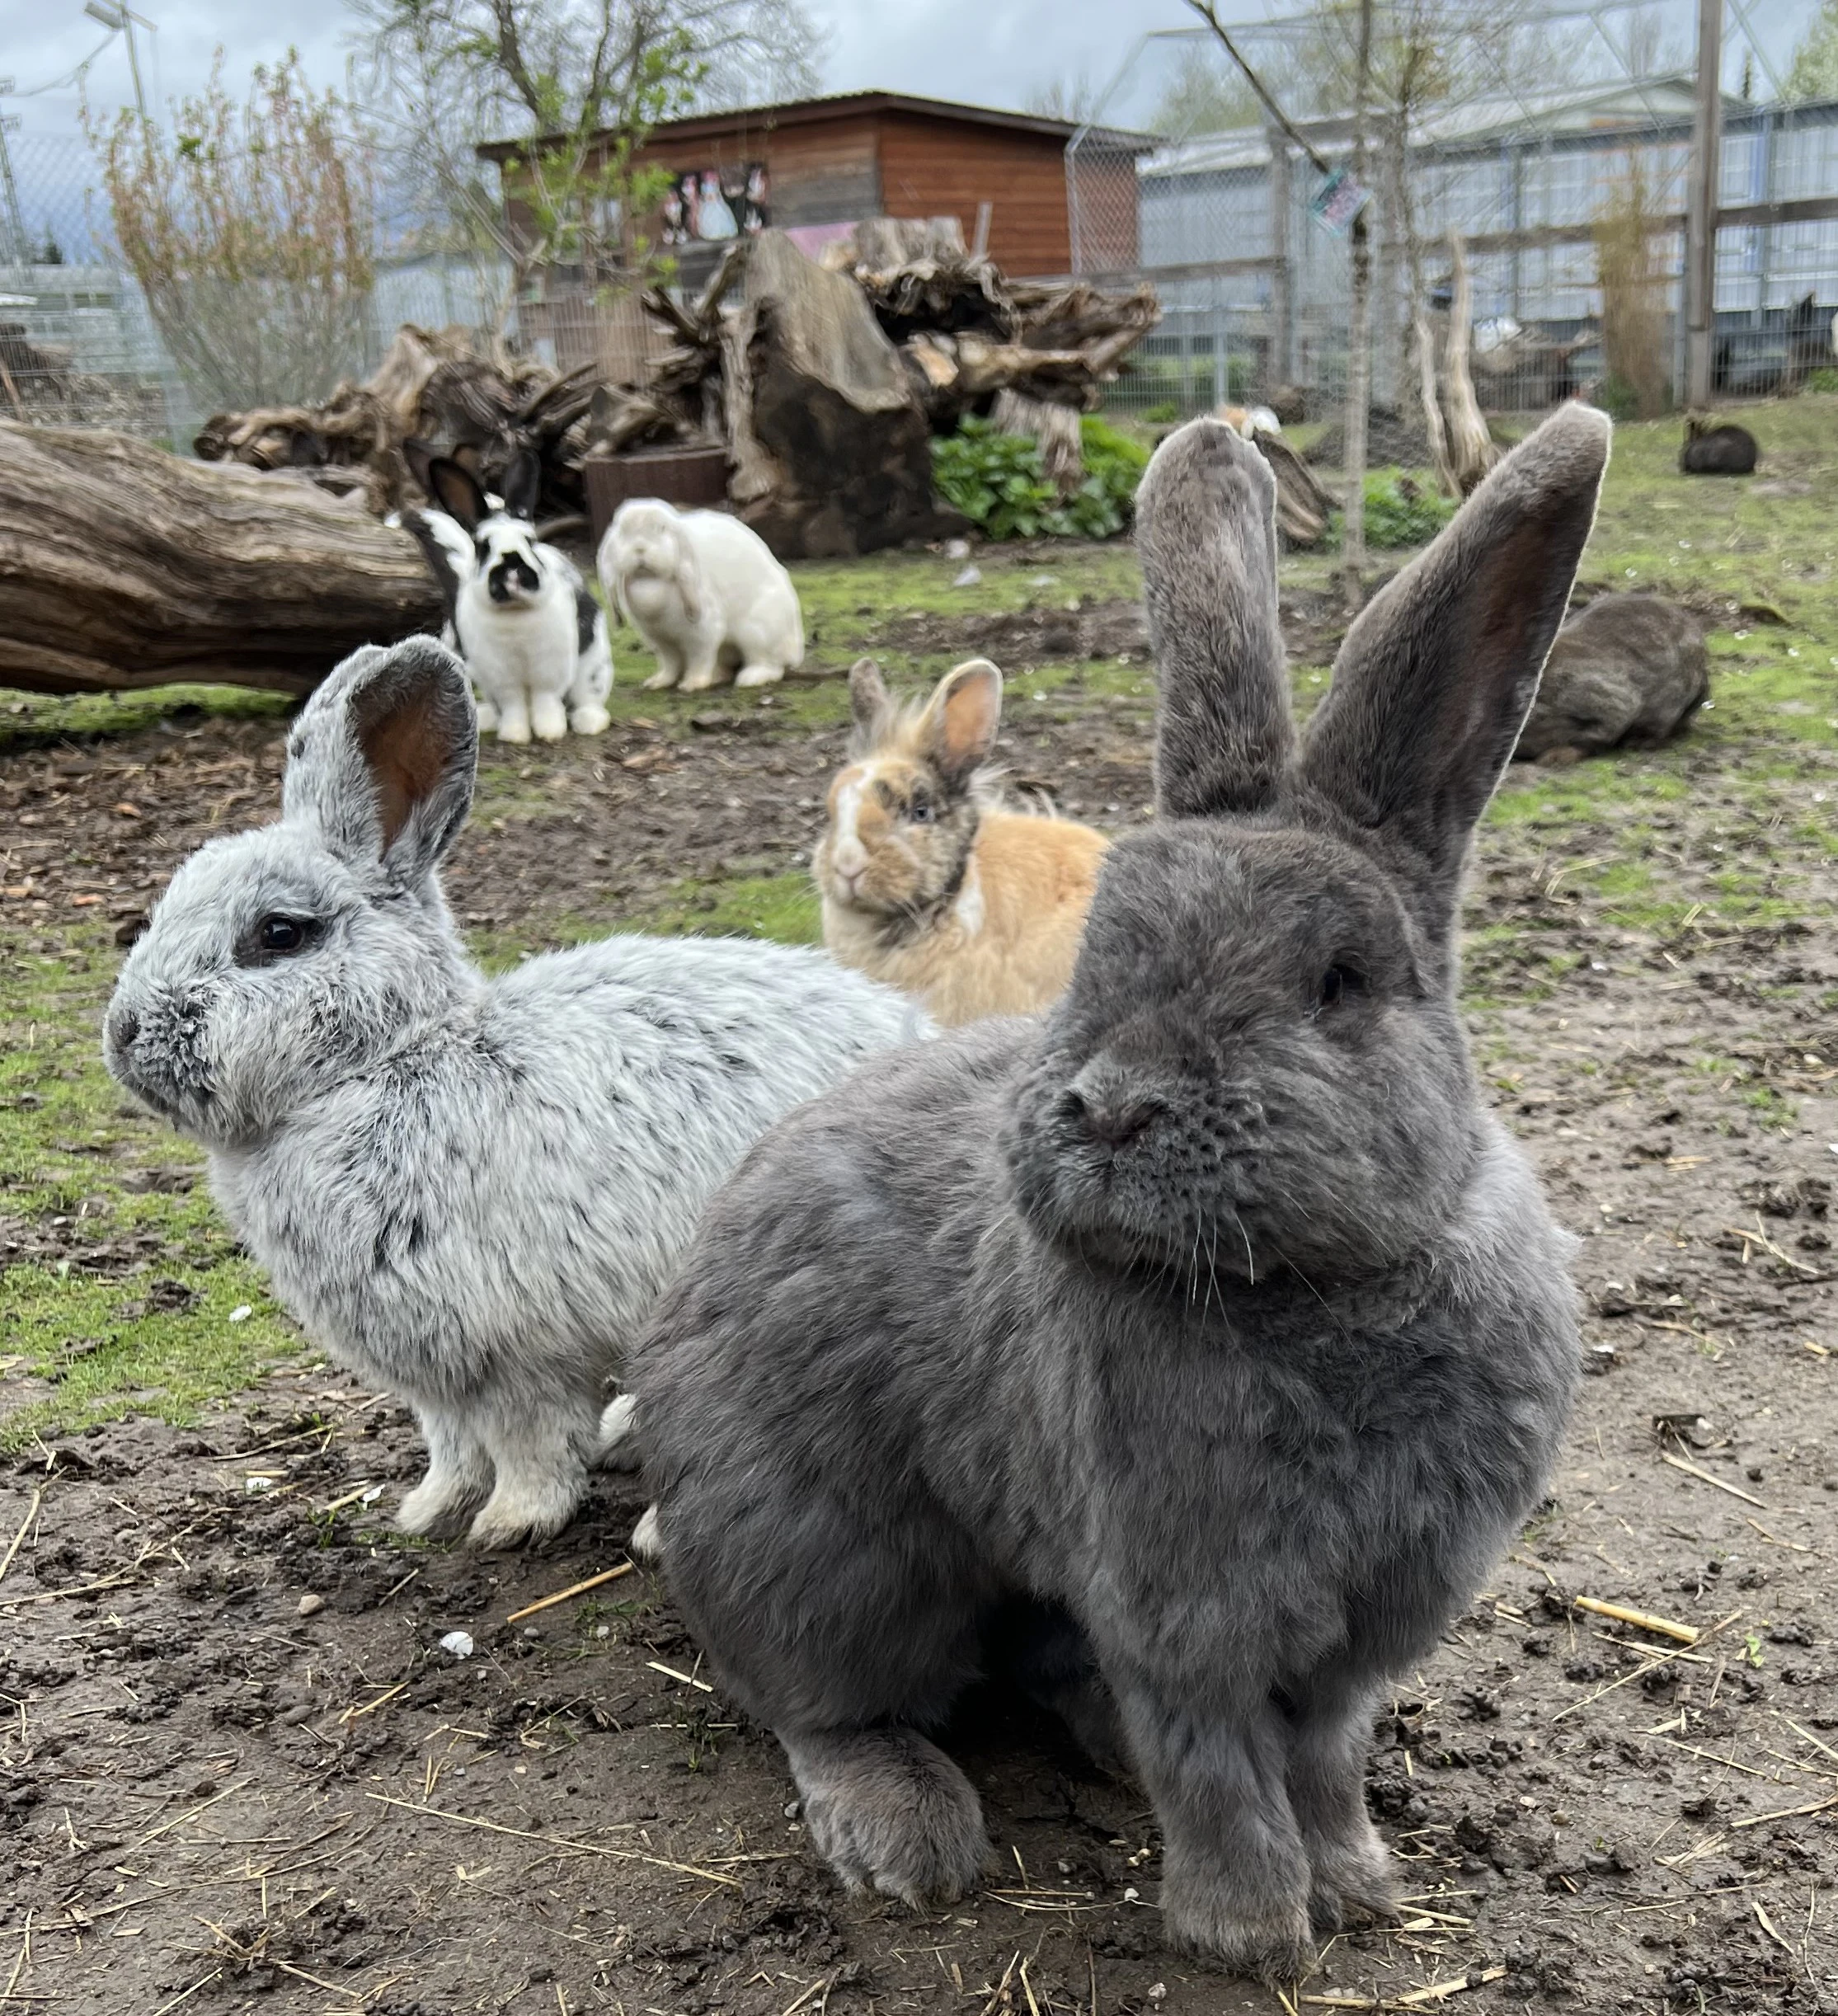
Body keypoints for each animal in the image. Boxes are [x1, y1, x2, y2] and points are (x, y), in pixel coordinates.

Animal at [102, 638, 928, 1552]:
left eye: (279, 934)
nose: (125, 1035)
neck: (389, 1056)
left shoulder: (517, 1356)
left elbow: (528, 1443)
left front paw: (509, 1523)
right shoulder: (436, 1378)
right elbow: (451, 1445)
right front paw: (427, 1512)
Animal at [418, 449, 613, 742]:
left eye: (530, 541)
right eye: (483, 547)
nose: (513, 571)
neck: (515, 613)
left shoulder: (549, 670)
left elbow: (546, 700)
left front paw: (550, 732)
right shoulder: (500, 677)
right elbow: (513, 705)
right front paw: (515, 735)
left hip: (593, 668)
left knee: (587, 699)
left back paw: (588, 722)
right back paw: (486, 719)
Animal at [598, 498, 803, 692]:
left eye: (661, 529)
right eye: (624, 532)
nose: (639, 549)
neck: (650, 578)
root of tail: (795, 650)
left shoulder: (702, 634)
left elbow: (700, 659)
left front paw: (692, 684)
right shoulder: (661, 640)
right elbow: (669, 663)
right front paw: (658, 682)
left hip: (757, 632)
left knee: (770, 664)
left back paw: (749, 678)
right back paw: (717, 677)